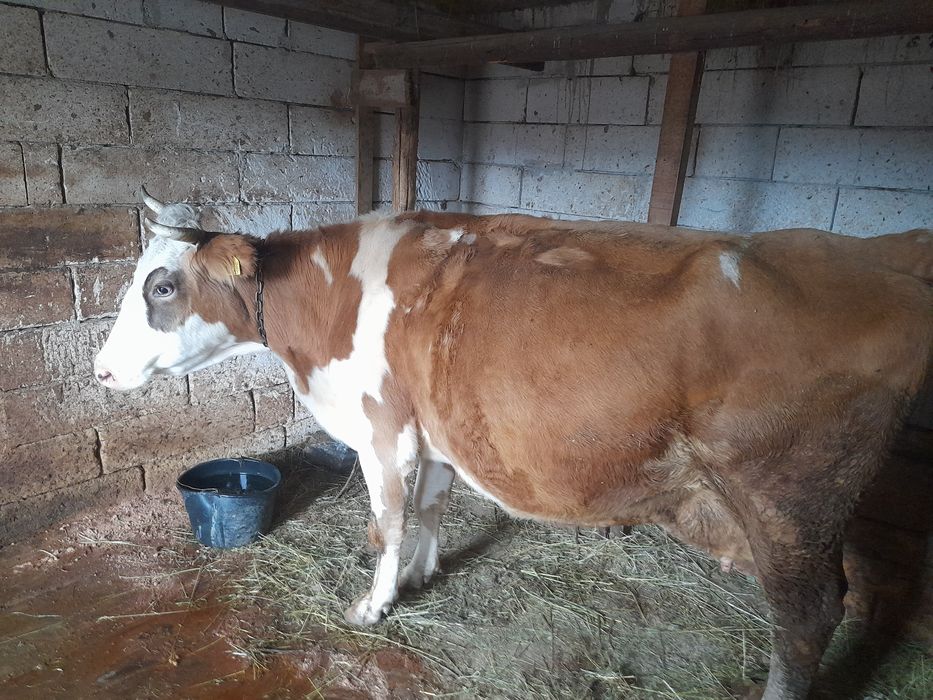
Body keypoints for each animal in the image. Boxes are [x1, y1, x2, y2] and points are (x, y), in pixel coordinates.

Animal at [94, 190, 932, 700]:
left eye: (162, 286)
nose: (100, 369)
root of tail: (879, 253)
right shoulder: (431, 428)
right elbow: (430, 510)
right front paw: (424, 573)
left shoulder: (382, 428)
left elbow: (386, 523)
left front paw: (373, 603)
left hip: (789, 496)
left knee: (810, 614)